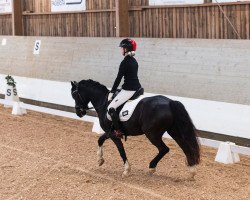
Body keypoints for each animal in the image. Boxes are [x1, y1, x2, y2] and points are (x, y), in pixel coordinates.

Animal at [71, 79, 200, 178]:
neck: (104, 103)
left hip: (152, 134)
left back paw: (152, 167)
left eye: (75, 95)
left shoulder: (113, 134)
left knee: (164, 149)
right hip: (173, 131)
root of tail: (170, 102)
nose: (79, 112)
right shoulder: (110, 132)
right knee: (185, 147)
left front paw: (126, 170)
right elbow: (100, 140)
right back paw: (192, 171)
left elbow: (120, 150)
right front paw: (100, 160)